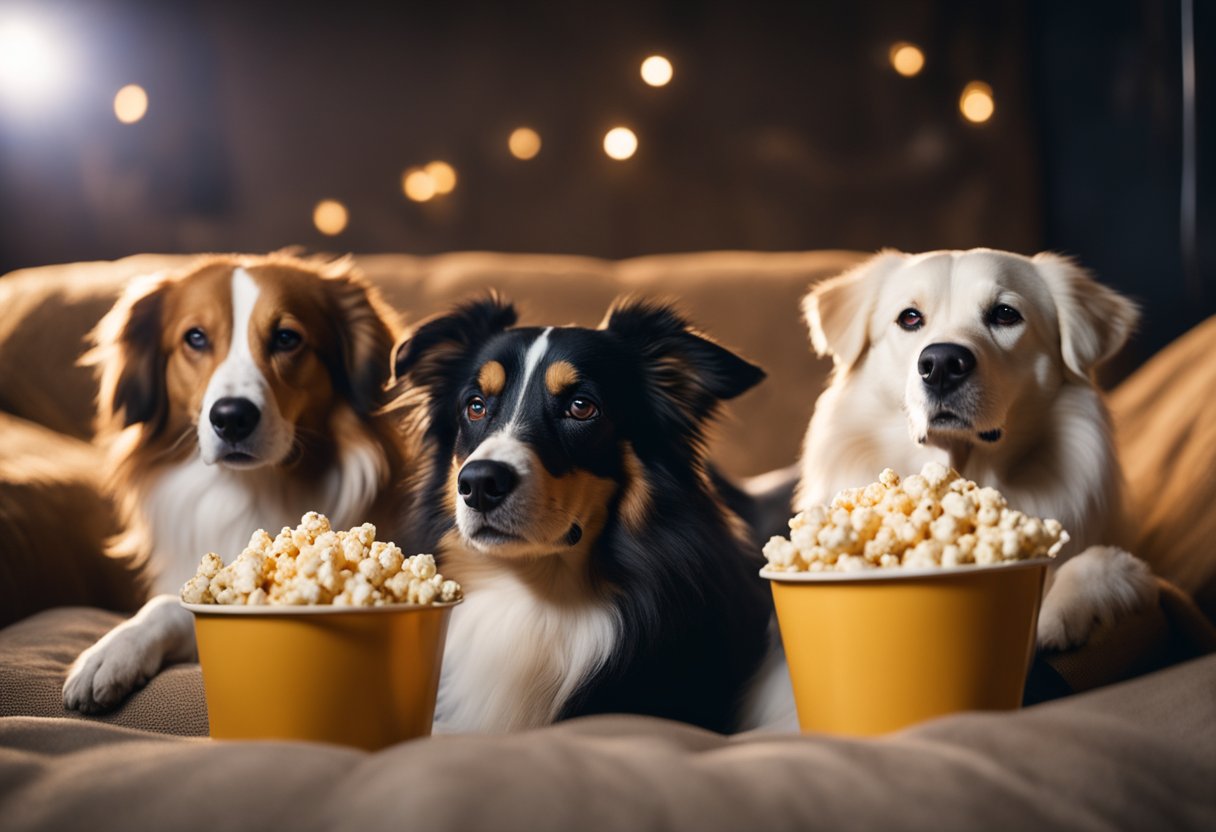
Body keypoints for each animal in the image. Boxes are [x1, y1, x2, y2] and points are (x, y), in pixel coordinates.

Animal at [62, 255, 403, 715]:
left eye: (286, 337)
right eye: (195, 337)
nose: (232, 417)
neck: (249, 490)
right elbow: (167, 604)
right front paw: (112, 651)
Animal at [797, 246, 1157, 651]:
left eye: (1005, 313)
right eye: (909, 317)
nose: (940, 364)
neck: (963, 465)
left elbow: (1099, 562)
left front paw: (1053, 617)